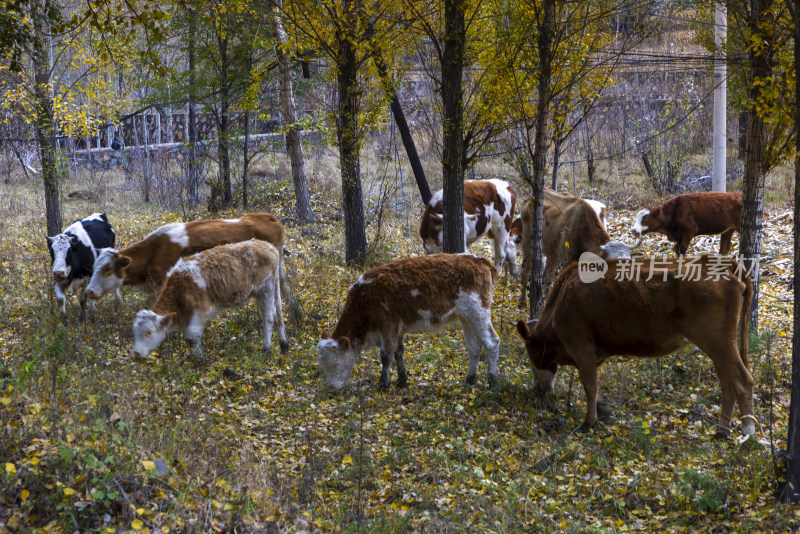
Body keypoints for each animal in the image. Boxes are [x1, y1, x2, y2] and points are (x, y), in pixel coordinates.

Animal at [133, 242, 290, 360]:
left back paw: (267, 348)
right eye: (135, 332)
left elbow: (191, 336)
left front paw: (199, 359)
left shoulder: (201, 309)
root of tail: (268, 245)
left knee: (268, 318)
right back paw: (283, 344)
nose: (136, 353)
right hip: (268, 290)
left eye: (149, 333)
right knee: (278, 315)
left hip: (265, 289)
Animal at [318, 253, 500, 392]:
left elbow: (386, 354)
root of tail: (479, 260)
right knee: (474, 347)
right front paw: (402, 381)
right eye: (321, 364)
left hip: (478, 313)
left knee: (491, 343)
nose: (331, 389)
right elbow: (399, 352)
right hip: (465, 317)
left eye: (334, 364)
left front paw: (383, 385)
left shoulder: (388, 324)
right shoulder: (397, 329)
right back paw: (470, 380)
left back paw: (493, 382)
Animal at [516, 256, 752, 440]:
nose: (538, 390)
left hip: (716, 341)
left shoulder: (581, 346)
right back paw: (723, 431)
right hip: (720, 347)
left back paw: (747, 432)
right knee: (728, 382)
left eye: (531, 352)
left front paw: (589, 422)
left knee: (741, 380)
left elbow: (590, 386)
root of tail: (720, 263)